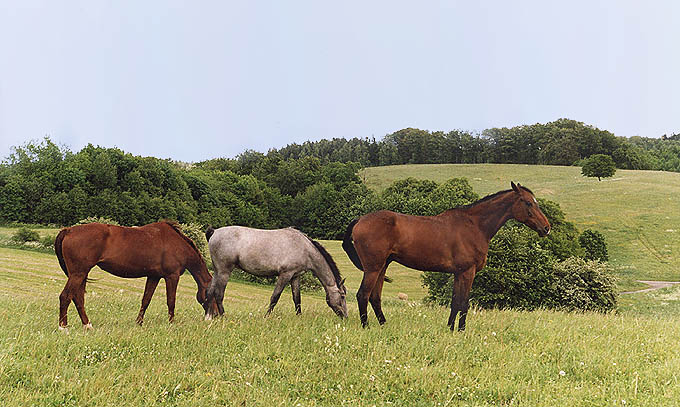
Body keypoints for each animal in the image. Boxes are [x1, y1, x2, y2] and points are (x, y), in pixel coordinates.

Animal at [54, 222, 216, 330]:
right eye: (213, 295)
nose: (215, 316)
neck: (177, 244)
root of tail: (68, 230)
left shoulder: (153, 276)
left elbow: (146, 300)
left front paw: (139, 323)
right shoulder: (172, 276)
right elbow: (171, 301)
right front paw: (171, 324)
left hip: (81, 274)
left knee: (78, 298)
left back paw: (87, 325)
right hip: (78, 273)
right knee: (65, 296)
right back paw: (63, 327)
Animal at [203, 226, 348, 318]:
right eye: (342, 297)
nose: (345, 317)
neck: (304, 248)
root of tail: (214, 232)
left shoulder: (295, 277)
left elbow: (297, 298)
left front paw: (299, 317)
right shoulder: (285, 275)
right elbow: (275, 297)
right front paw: (267, 316)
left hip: (217, 271)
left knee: (210, 291)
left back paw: (208, 316)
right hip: (224, 272)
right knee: (219, 294)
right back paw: (223, 316)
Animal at [342, 182, 548, 332]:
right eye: (528, 202)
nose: (546, 228)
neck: (474, 225)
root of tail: (360, 220)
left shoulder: (458, 273)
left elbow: (455, 302)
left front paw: (450, 328)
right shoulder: (468, 272)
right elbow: (464, 303)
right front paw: (461, 331)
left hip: (382, 266)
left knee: (375, 297)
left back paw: (384, 325)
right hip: (373, 268)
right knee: (363, 295)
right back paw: (366, 327)